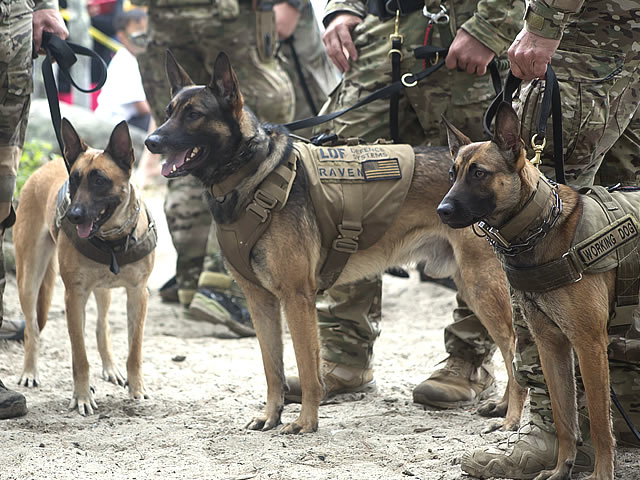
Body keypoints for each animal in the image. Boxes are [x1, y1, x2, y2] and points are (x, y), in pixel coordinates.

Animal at [14, 119, 156, 412]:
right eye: (74, 180)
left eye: (100, 181)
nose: (72, 215)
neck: (112, 241)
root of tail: (49, 163)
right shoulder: (74, 296)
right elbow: (79, 355)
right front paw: (81, 396)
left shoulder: (139, 293)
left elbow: (134, 350)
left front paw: (137, 389)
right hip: (29, 278)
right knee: (32, 329)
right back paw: (30, 372)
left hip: (103, 291)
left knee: (102, 326)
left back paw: (111, 368)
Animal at [146, 51, 528, 436]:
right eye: (168, 111)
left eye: (194, 114)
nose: (150, 141)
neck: (252, 175)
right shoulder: (260, 301)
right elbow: (272, 368)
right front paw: (271, 414)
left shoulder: (296, 298)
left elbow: (306, 366)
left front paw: (306, 421)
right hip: (472, 285)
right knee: (509, 347)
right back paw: (502, 406)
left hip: (482, 286)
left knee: (514, 346)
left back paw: (512, 415)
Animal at [438, 104, 636, 480]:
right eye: (452, 173)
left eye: (479, 173)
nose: (441, 211)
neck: (542, 224)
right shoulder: (551, 344)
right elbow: (563, 417)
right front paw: (561, 468)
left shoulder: (589, 343)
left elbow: (599, 422)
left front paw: (601, 473)